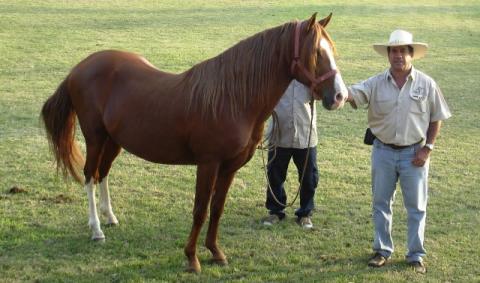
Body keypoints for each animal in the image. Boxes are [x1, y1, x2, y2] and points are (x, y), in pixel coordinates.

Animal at [41, 13, 346, 272]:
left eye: (332, 51)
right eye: (316, 53)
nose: (340, 96)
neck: (232, 98)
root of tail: (80, 68)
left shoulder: (229, 166)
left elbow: (217, 209)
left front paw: (216, 252)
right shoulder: (208, 163)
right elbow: (200, 210)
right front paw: (192, 258)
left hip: (113, 141)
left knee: (102, 174)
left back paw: (110, 218)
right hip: (95, 138)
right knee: (90, 175)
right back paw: (96, 230)